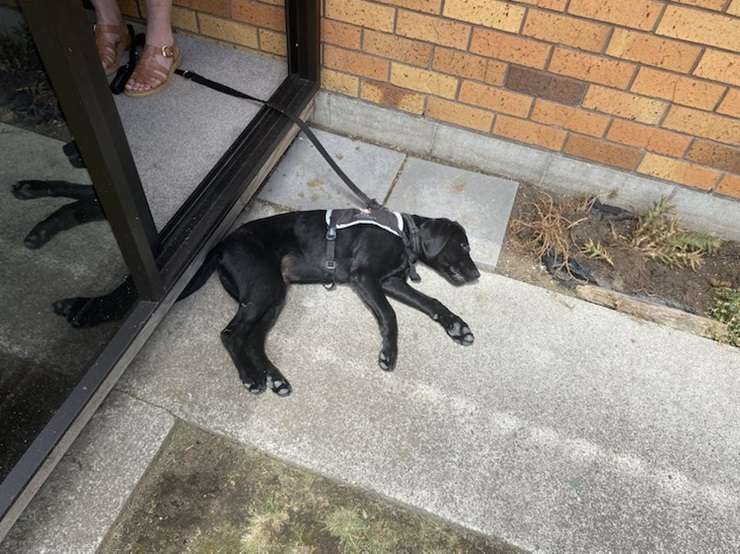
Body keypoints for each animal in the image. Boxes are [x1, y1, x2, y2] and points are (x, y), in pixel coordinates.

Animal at [178, 206, 480, 392]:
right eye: (463, 246)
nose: (477, 274)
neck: (404, 234)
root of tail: (222, 245)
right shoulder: (365, 276)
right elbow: (389, 314)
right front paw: (388, 352)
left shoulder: (389, 281)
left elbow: (431, 302)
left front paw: (456, 326)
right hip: (264, 288)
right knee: (231, 334)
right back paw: (251, 378)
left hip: (273, 297)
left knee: (253, 340)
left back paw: (275, 379)